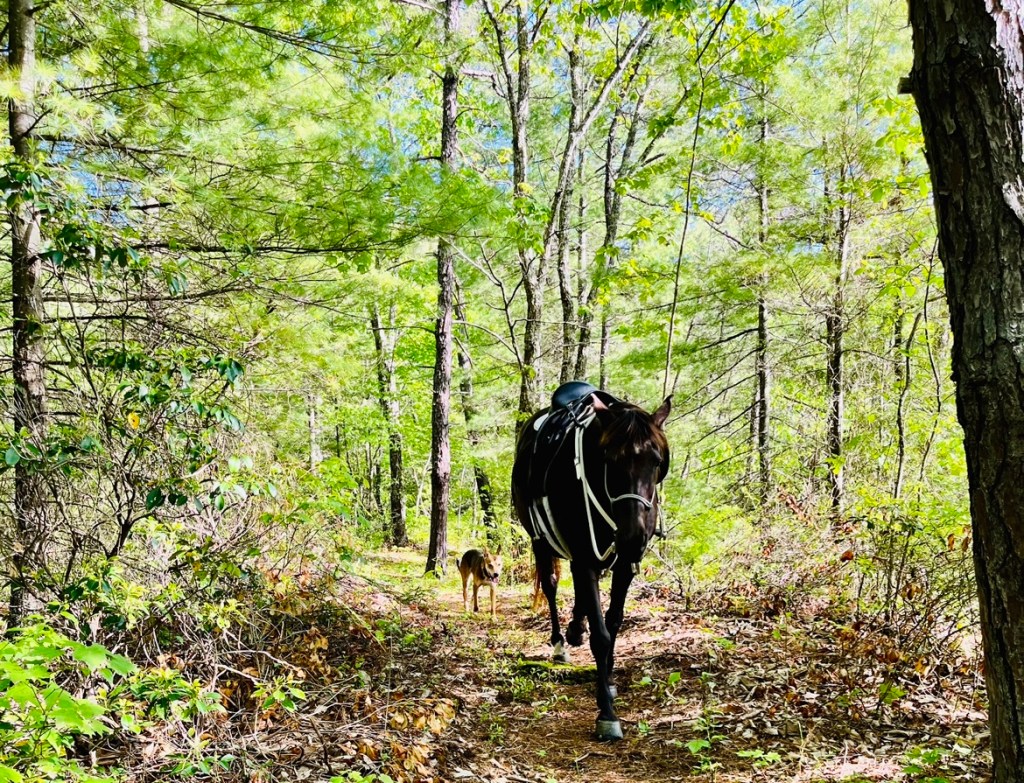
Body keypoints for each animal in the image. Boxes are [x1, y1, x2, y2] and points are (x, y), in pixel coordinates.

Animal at [511, 381, 671, 741]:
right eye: (610, 460)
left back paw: (575, 628)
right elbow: (601, 634)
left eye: (656, 461)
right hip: (539, 540)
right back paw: (560, 643)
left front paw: (607, 681)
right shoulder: (584, 557)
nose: (633, 536)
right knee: (552, 586)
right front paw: (607, 714)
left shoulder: (624, 564)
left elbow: (613, 622)